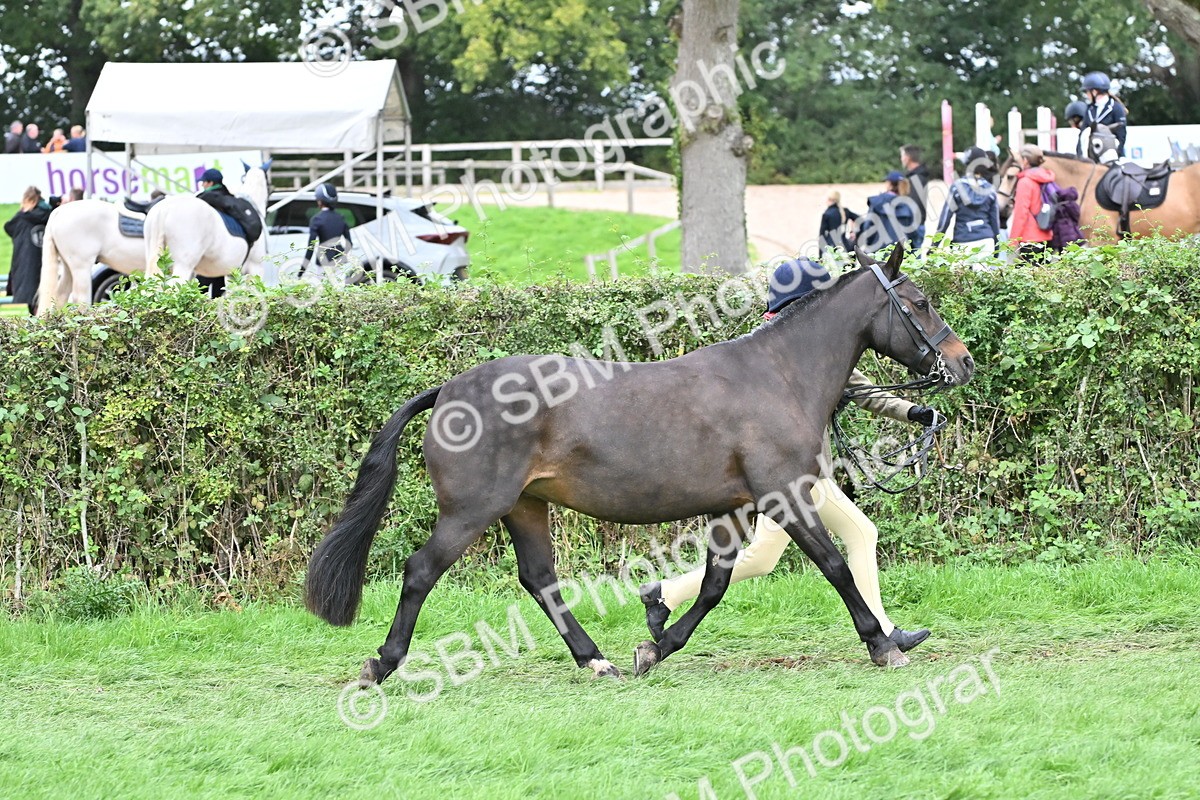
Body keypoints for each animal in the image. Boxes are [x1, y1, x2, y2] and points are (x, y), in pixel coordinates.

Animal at [305, 244, 976, 685]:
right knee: (421, 572)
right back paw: (381, 664)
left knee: (540, 579)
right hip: (472, 511)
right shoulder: (783, 495)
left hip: (525, 506)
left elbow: (714, 585)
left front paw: (656, 645)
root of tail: (447, 391)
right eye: (920, 302)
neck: (777, 376)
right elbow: (835, 567)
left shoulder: (734, 508)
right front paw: (883, 645)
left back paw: (595, 658)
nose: (963, 362)